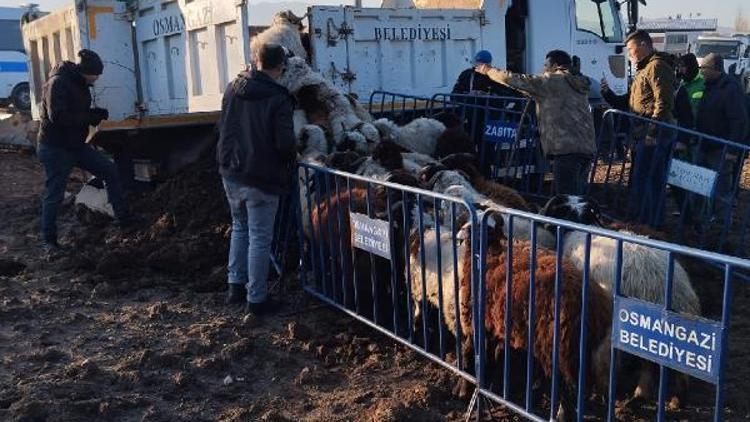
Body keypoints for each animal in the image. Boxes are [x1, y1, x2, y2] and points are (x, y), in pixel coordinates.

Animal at [458, 211, 616, 418]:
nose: (462, 235)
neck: (490, 248)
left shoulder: (476, 319)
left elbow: (471, 351)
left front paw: (468, 391)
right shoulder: (496, 324)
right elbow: (494, 354)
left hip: (556, 349)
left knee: (564, 387)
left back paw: (559, 413)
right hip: (579, 352)